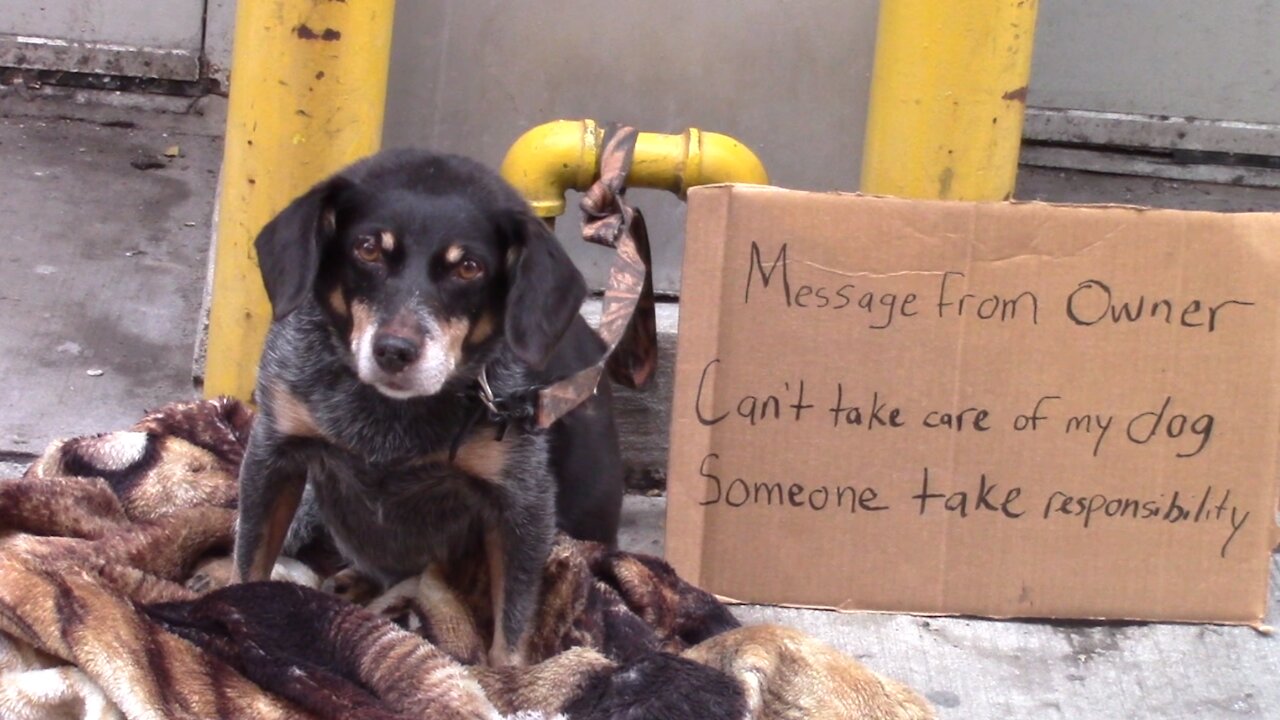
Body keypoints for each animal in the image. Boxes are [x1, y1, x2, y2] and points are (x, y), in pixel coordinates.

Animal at [236, 148, 629, 666]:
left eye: (469, 267)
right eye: (368, 249)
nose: (394, 350)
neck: (387, 419)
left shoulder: (522, 503)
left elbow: (512, 626)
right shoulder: (273, 453)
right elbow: (249, 561)